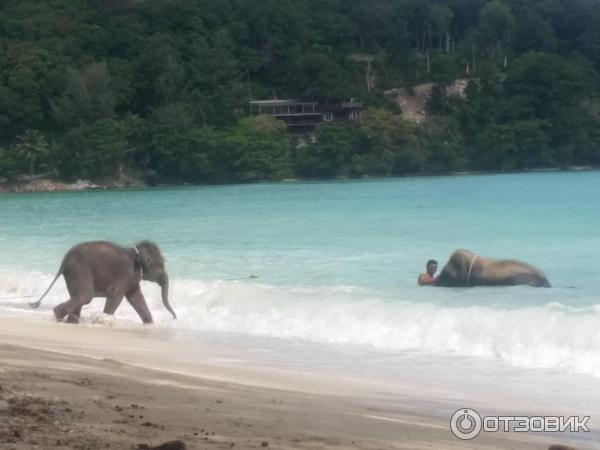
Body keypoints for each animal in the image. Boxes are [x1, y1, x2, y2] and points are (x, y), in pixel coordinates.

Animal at [30, 241, 176, 326]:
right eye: (161, 265)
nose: (174, 318)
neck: (135, 253)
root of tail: (64, 261)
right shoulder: (125, 274)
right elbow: (115, 295)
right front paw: (103, 319)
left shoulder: (132, 279)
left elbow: (136, 298)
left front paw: (150, 323)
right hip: (79, 271)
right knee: (85, 296)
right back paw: (58, 316)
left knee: (78, 297)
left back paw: (71, 322)